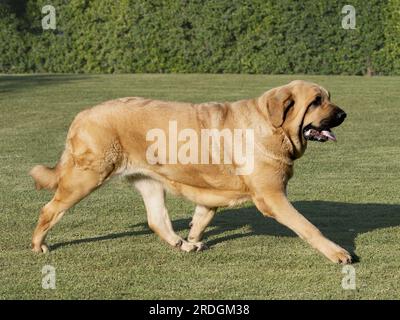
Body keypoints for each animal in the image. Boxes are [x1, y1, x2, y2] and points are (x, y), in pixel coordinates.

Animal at [29, 81, 352, 264]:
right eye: (316, 101)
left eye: (328, 98)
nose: (343, 114)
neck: (272, 126)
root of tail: (81, 115)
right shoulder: (272, 197)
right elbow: (307, 226)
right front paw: (337, 253)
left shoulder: (211, 195)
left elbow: (201, 218)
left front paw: (193, 239)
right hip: (86, 177)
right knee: (49, 209)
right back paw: (37, 245)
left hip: (149, 180)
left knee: (157, 220)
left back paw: (181, 244)